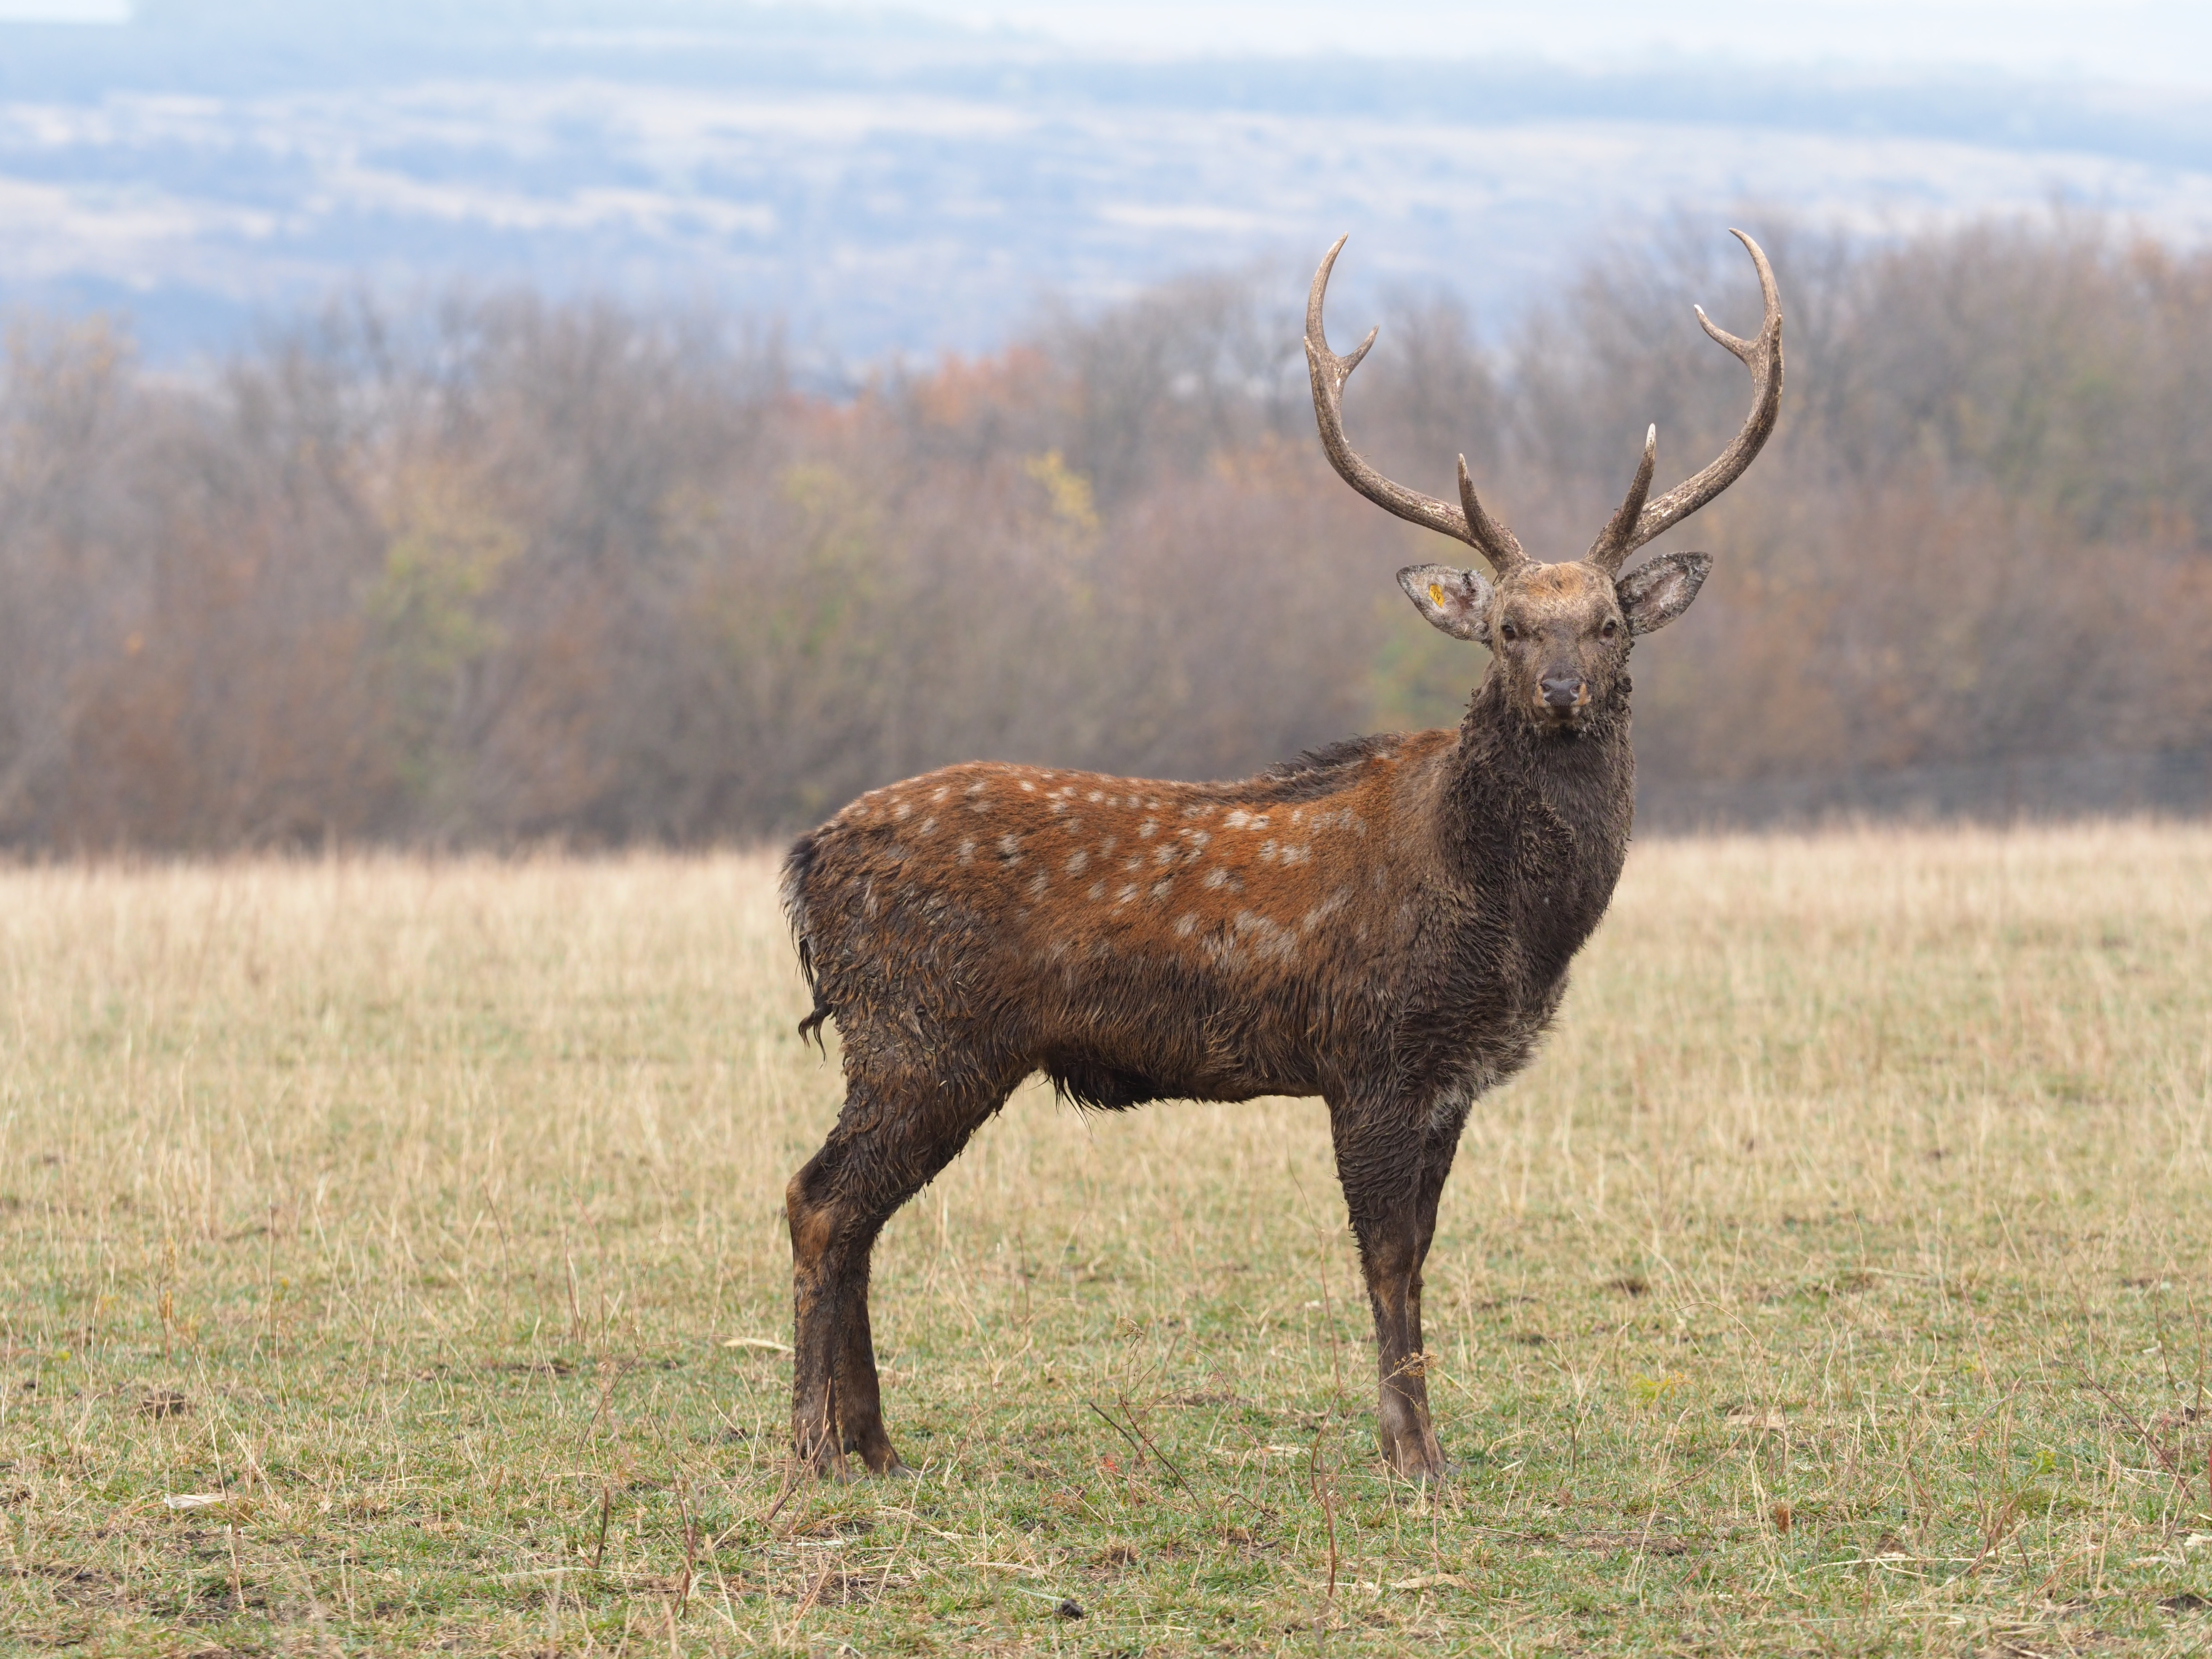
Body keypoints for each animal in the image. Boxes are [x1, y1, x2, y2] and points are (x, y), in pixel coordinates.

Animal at [780, 230, 1782, 1480]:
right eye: (1507, 627)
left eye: (1609, 625)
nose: (1562, 692)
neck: (1511, 925)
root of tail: (806, 863)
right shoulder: (1373, 1053)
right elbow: (1386, 1256)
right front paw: (1413, 1454)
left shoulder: (1451, 1077)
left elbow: (1420, 1250)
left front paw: (1418, 1441)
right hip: (920, 1032)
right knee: (819, 1201)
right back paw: (814, 1446)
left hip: (918, 1046)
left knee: (853, 1213)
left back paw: (873, 1444)